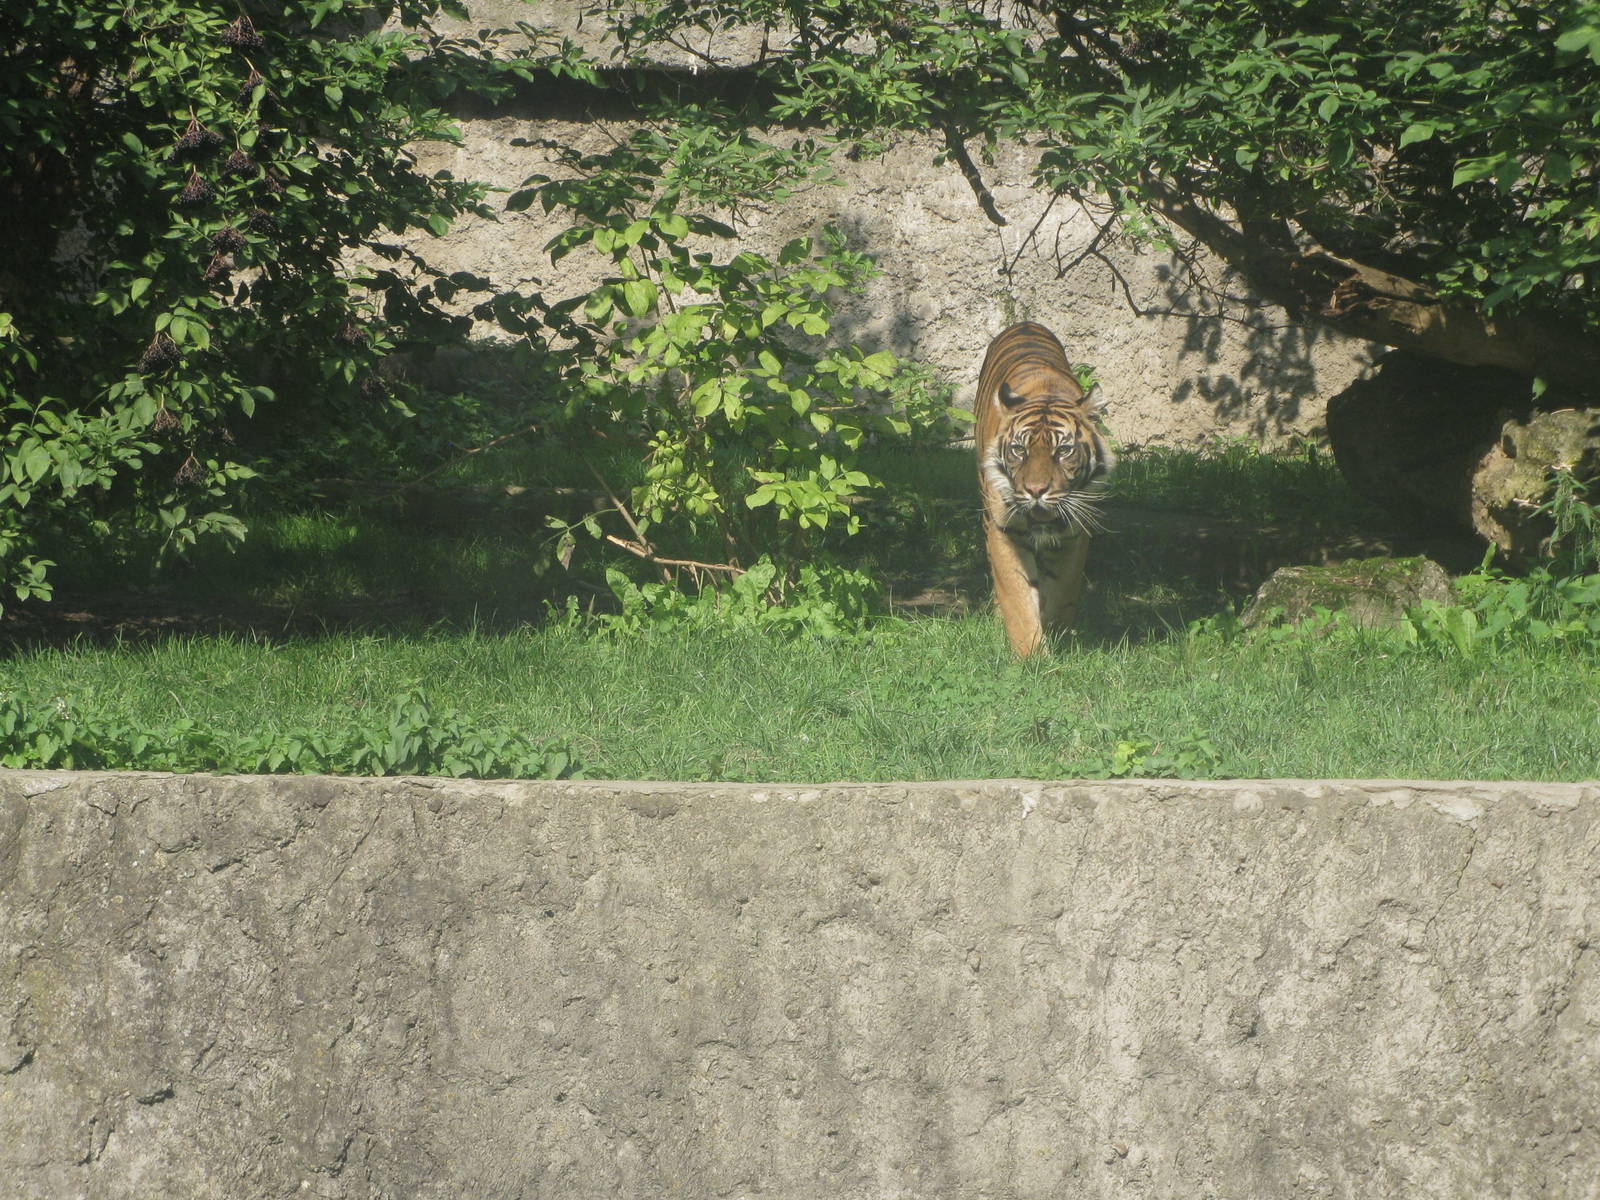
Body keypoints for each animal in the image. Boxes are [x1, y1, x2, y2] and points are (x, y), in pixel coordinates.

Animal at [975, 322, 1116, 656]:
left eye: (1063, 451)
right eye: (1019, 450)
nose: (1036, 490)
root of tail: (1024, 323)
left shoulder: (1075, 532)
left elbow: (1063, 590)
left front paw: (1061, 637)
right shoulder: (1003, 528)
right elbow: (1017, 596)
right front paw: (1031, 656)